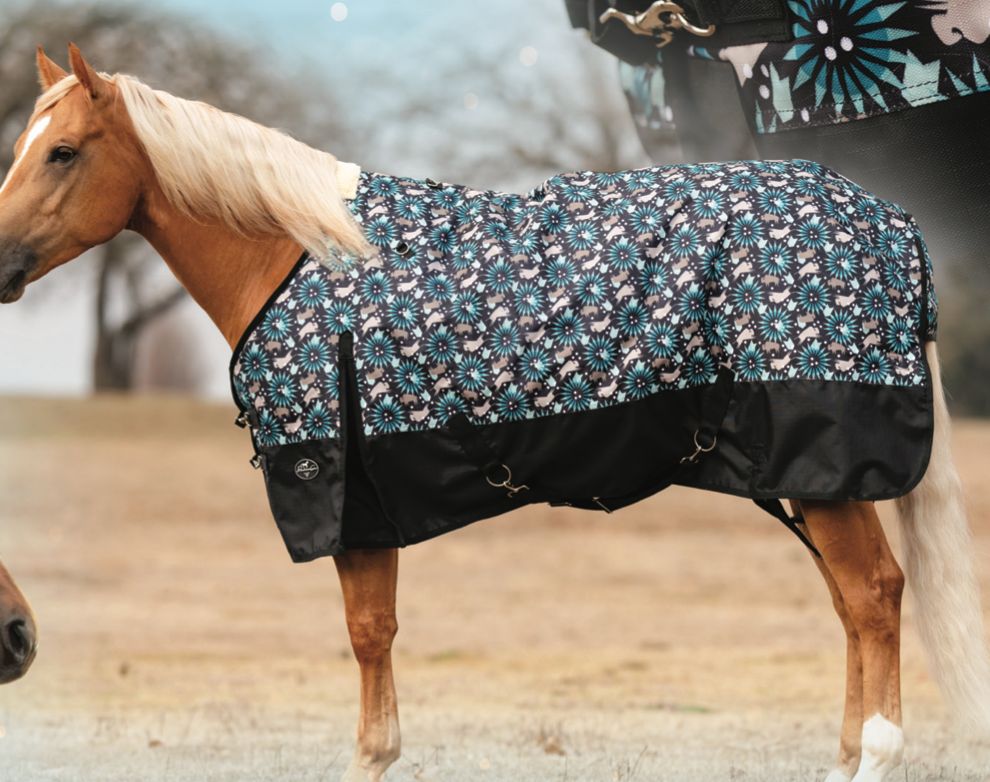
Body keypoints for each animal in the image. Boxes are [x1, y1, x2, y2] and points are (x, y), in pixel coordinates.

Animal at [0, 45, 987, 782]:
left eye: (63, 151)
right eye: (22, 145)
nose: (0, 262)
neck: (302, 255)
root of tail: (888, 221)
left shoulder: (346, 497)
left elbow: (368, 645)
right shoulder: (373, 503)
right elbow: (379, 641)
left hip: (823, 470)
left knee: (874, 597)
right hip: (805, 482)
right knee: (854, 607)